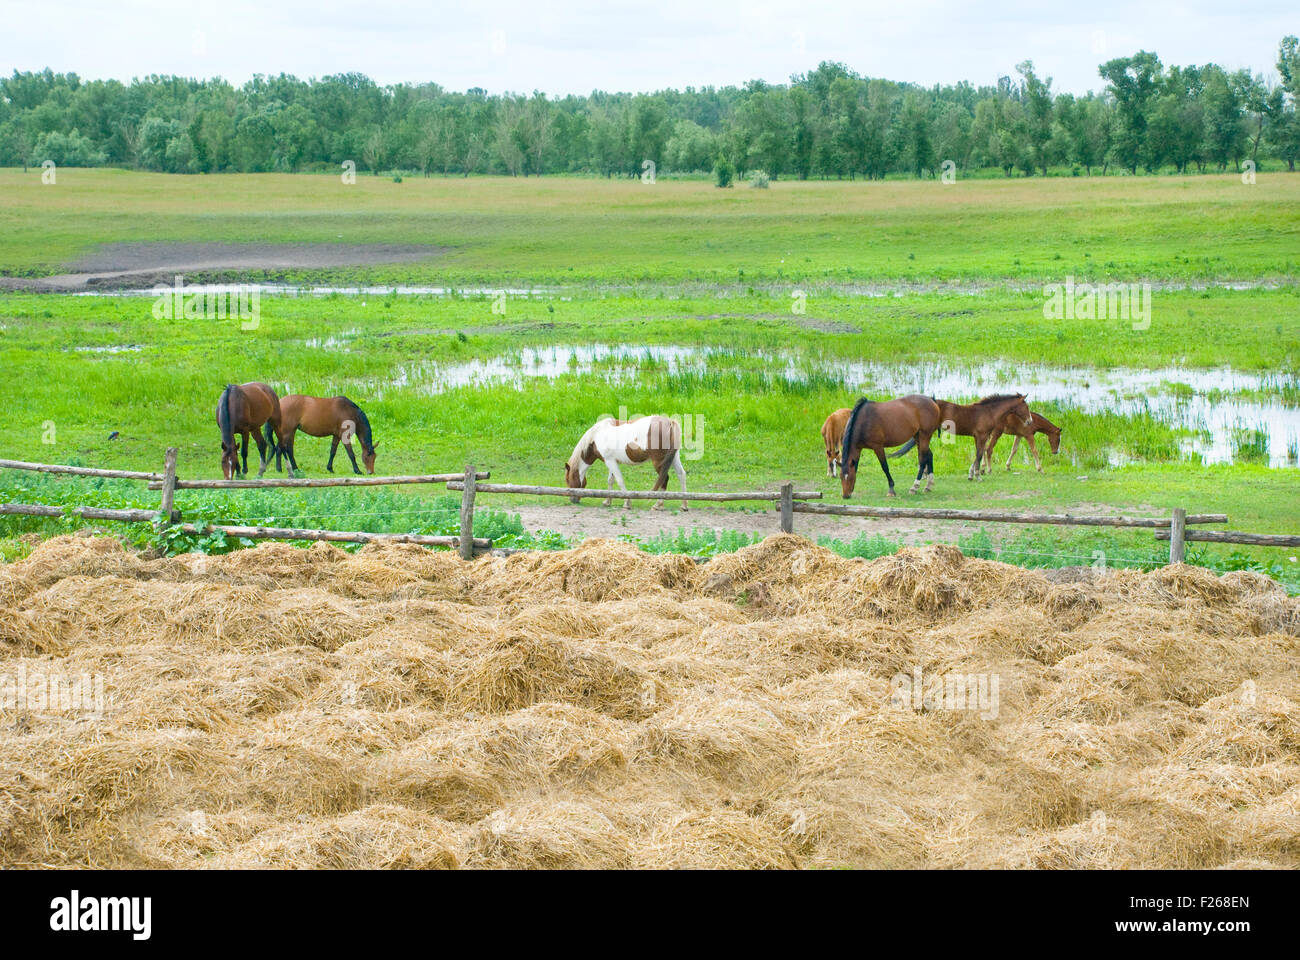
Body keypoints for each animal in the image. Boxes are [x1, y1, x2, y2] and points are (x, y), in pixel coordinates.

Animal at [895, 394, 1032, 481]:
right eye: (1026, 407)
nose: (1029, 421)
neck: (988, 412)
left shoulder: (978, 437)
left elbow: (978, 454)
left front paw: (971, 474)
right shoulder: (982, 436)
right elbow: (979, 454)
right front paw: (977, 476)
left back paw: (923, 474)